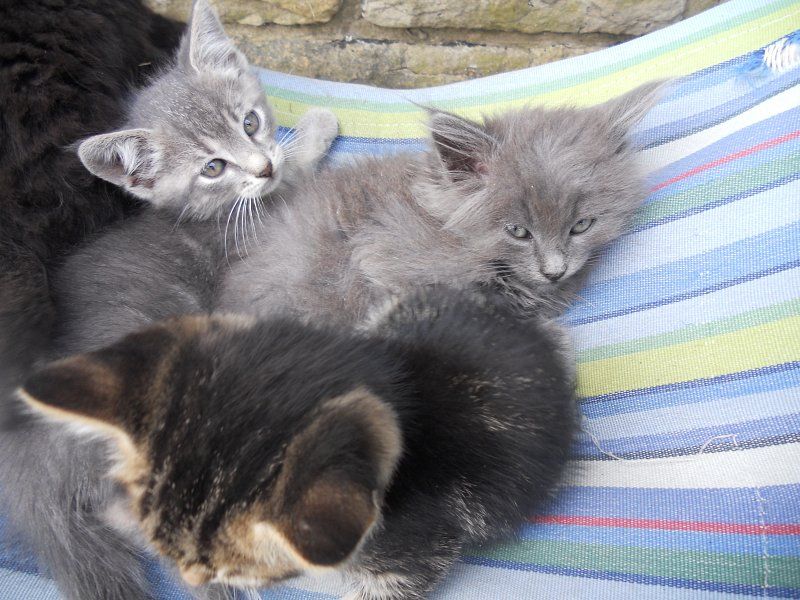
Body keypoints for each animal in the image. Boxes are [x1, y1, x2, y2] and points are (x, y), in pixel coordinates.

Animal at [0, 1, 337, 599]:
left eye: (249, 122)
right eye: (213, 168)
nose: (262, 167)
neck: (213, 212)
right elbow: (299, 171)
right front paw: (318, 127)